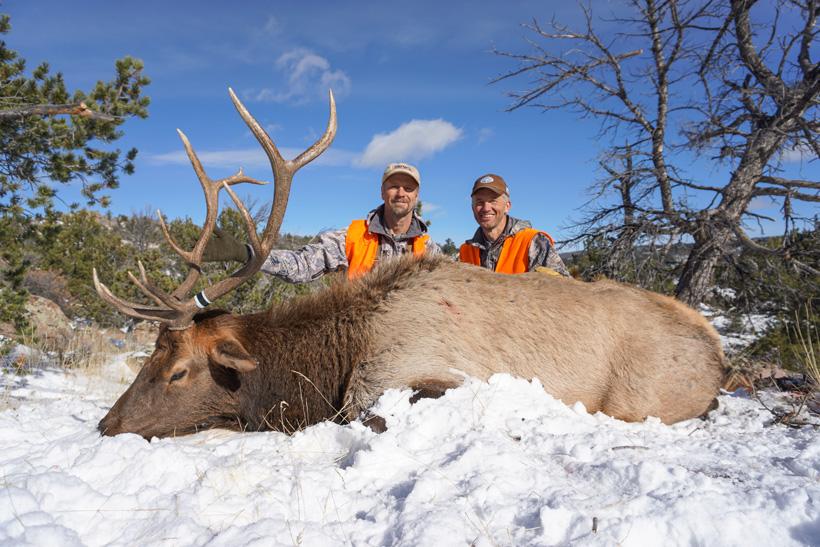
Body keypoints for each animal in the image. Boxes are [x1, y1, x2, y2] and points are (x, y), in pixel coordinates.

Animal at [95, 88, 727, 439]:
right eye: (150, 358)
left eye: (178, 371)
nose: (107, 424)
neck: (331, 360)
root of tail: (717, 348)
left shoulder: (417, 375)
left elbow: (363, 414)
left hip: (641, 398)